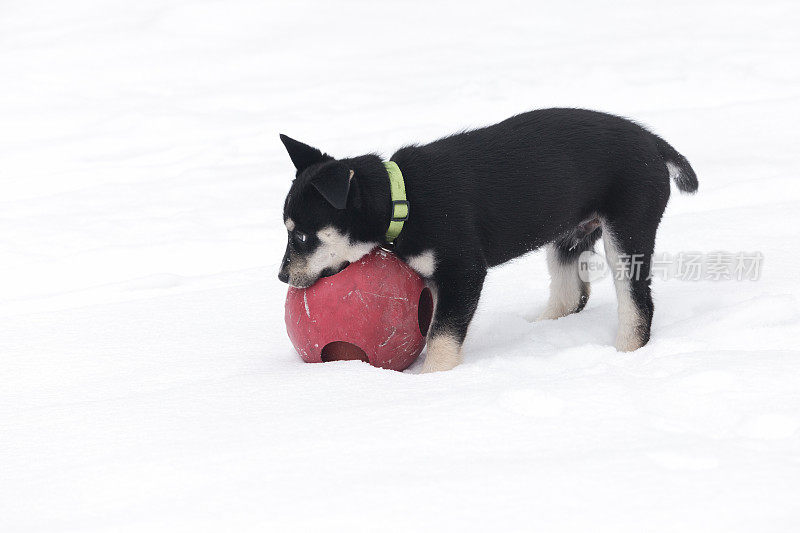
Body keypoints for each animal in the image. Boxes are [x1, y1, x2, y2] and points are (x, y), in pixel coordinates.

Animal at [278, 108, 696, 372]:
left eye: (301, 235)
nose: (283, 276)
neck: (403, 198)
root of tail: (654, 143)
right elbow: (434, 326)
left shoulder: (463, 270)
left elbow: (444, 334)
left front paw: (432, 378)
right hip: (569, 235)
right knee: (571, 295)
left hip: (626, 230)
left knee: (637, 303)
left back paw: (625, 353)